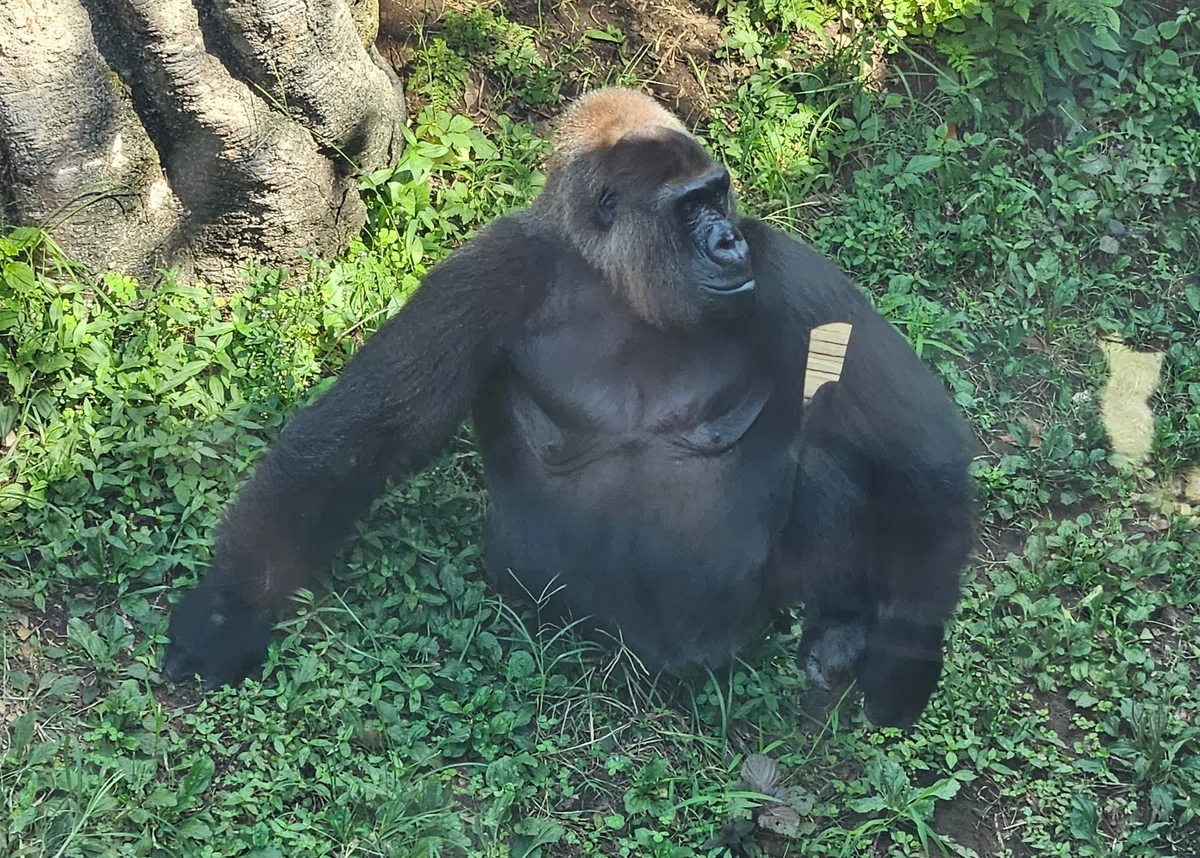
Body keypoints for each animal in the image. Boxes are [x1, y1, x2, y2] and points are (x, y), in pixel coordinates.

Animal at [163, 88, 975, 729]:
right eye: (692, 207)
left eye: (720, 196)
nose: (727, 242)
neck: (610, 276)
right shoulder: (489, 270)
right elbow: (358, 436)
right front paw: (228, 608)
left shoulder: (780, 268)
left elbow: (917, 444)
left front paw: (907, 655)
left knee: (839, 447)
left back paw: (838, 624)